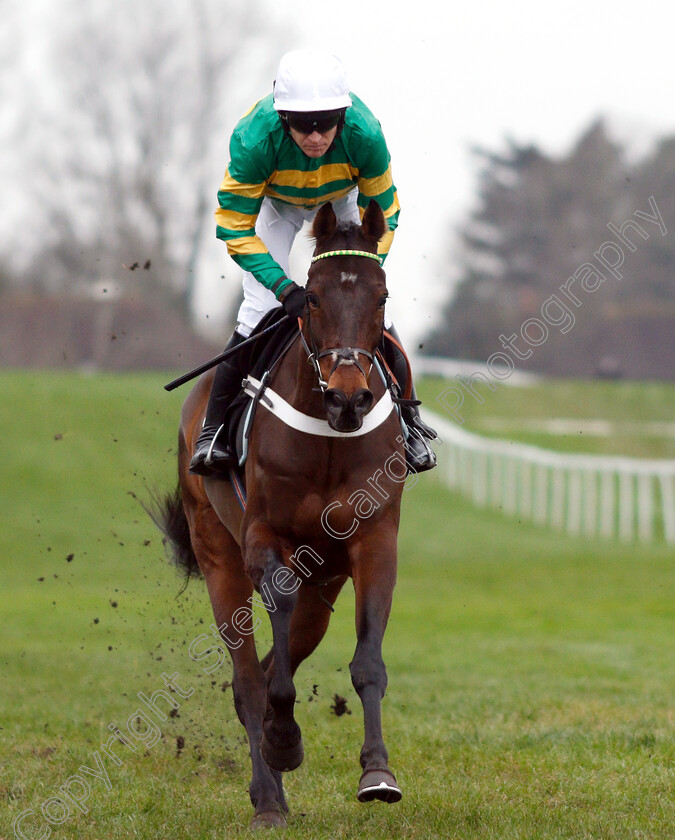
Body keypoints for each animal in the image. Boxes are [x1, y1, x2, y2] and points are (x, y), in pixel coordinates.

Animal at [161, 200, 410, 832]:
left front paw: (377, 773)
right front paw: (283, 742)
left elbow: (368, 662)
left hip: (324, 585)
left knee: (279, 659)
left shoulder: (375, 541)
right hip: (217, 555)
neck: (329, 438)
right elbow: (269, 666)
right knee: (250, 678)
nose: (349, 398)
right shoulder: (261, 538)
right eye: (314, 298)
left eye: (382, 297)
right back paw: (269, 797)